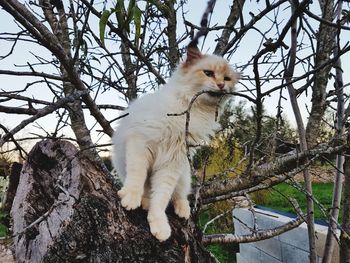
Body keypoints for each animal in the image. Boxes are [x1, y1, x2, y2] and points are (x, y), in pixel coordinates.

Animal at [113, 44, 239, 242]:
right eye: (208, 73)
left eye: (227, 78)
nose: (221, 85)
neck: (192, 112)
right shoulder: (140, 144)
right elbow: (137, 177)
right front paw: (131, 198)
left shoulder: (173, 163)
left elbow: (161, 198)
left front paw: (159, 226)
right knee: (146, 188)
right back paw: (143, 201)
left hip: (183, 174)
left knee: (179, 196)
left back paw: (182, 210)